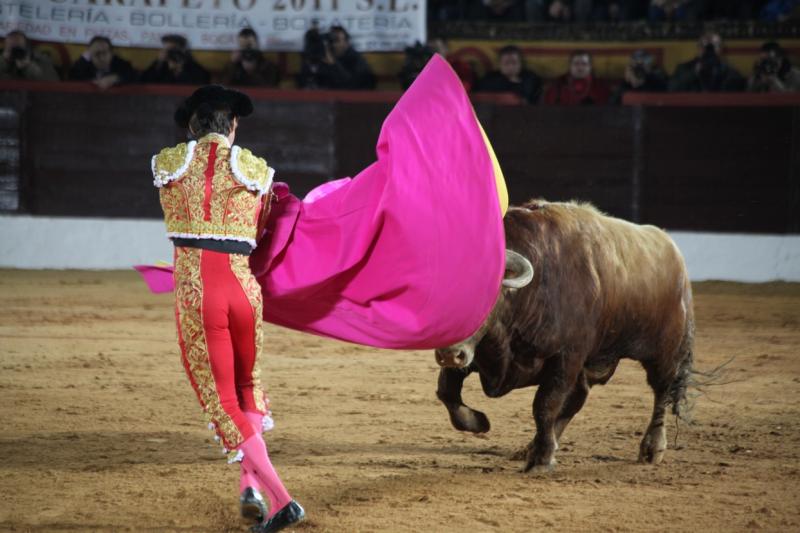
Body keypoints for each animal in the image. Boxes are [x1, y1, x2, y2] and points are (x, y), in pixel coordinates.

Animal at [434, 200, 692, 470]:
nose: (449, 354)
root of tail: (673, 252)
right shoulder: (476, 355)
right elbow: (447, 391)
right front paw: (480, 422)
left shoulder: (566, 359)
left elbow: (545, 405)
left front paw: (542, 458)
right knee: (578, 399)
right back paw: (532, 446)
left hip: (665, 353)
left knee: (662, 392)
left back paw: (653, 448)